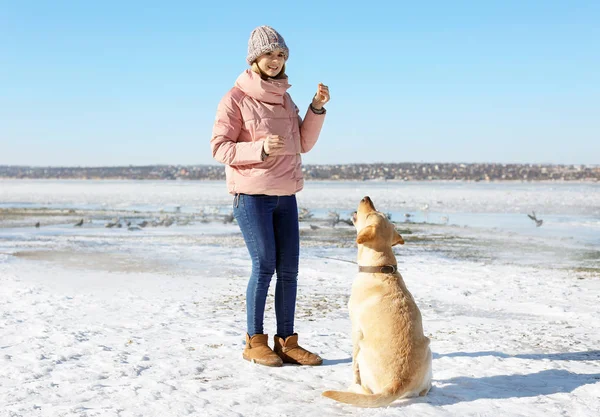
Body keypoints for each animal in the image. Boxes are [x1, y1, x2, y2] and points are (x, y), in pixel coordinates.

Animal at [324, 197, 432, 408]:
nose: (366, 197)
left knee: (365, 389)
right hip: (428, 347)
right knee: (425, 390)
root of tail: (398, 383)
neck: (380, 267)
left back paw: (354, 388)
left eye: (371, 213)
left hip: (364, 349)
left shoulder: (356, 329)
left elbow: (353, 365)